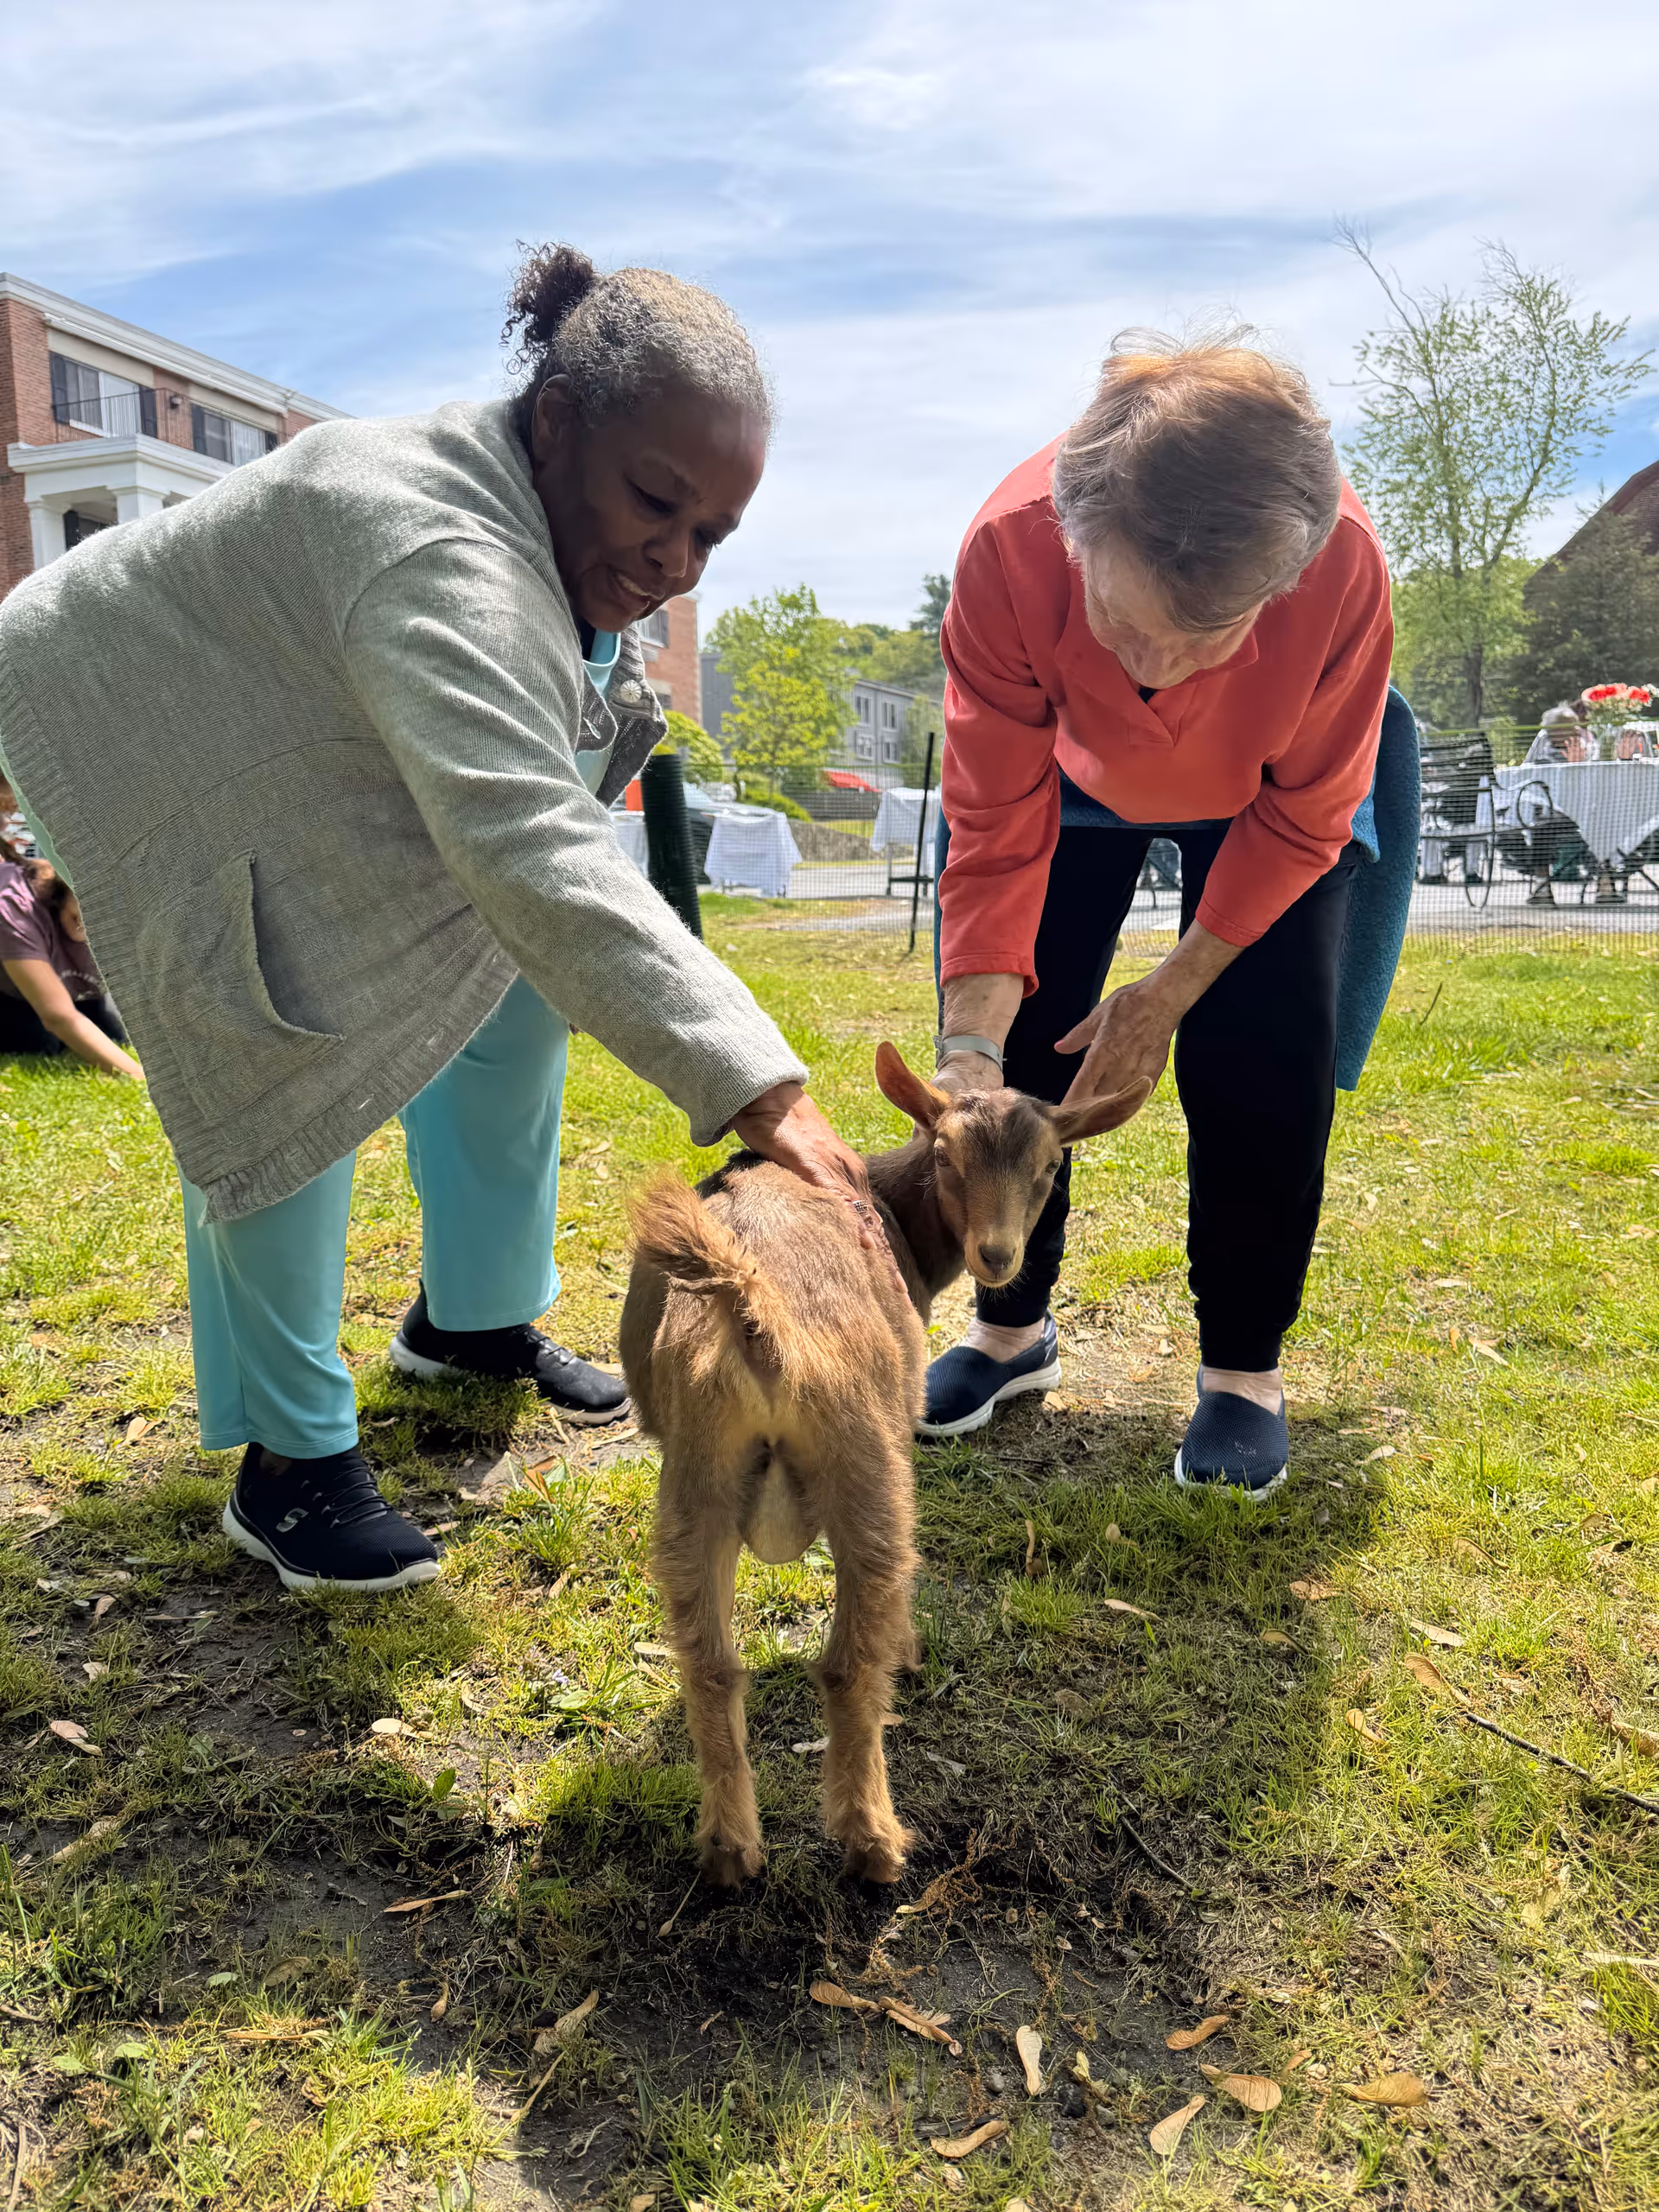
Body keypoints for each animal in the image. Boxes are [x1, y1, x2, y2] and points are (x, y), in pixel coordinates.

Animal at [621, 1041, 1144, 1887]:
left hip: (697, 1475)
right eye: (946, 1155)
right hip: (868, 1462)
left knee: (711, 1665)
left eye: (1048, 1166)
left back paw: (731, 1850)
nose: (998, 1255)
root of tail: (757, 1320)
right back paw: (874, 1842)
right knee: (847, 1660)